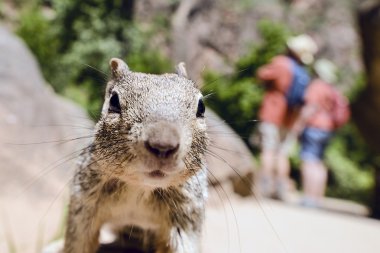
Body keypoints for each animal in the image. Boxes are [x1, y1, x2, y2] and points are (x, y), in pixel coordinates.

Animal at [49, 58, 208, 252]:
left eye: (201, 107)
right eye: (114, 101)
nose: (163, 145)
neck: (140, 187)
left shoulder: (186, 216)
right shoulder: (83, 206)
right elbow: (78, 242)